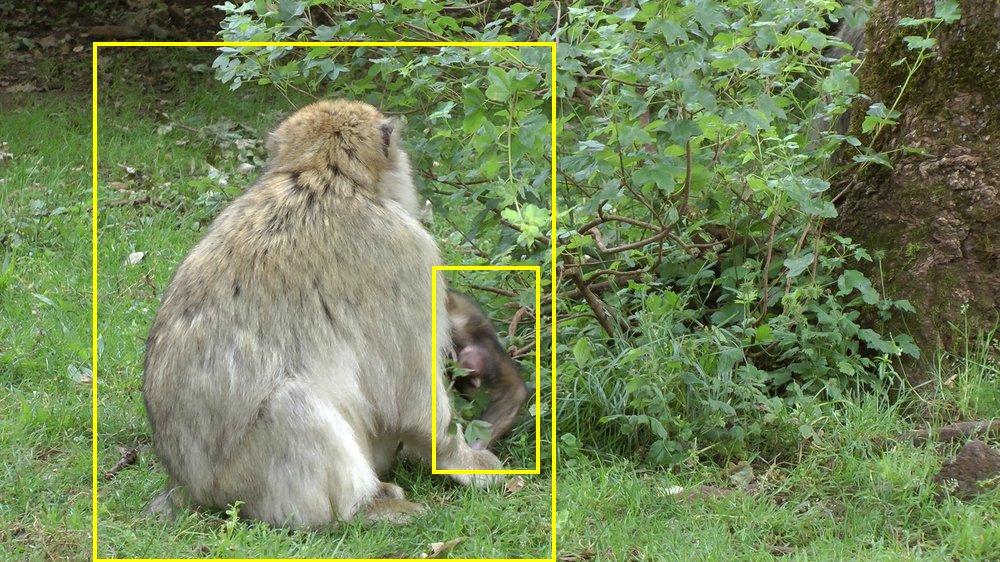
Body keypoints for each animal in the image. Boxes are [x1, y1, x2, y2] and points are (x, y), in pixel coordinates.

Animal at [141, 99, 500, 529]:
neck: (324, 174)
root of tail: (187, 488)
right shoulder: (408, 252)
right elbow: (409, 398)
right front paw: (465, 461)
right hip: (249, 484)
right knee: (290, 404)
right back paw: (367, 506)